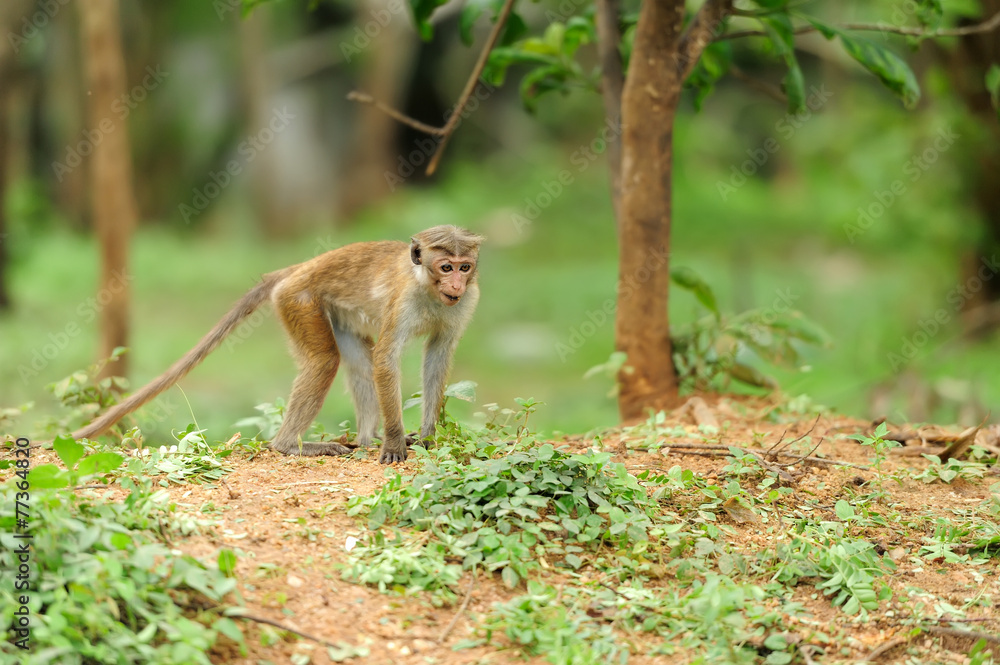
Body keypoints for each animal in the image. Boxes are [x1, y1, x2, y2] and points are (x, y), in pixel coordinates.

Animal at [68, 226, 482, 464]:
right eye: (445, 267)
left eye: (465, 267)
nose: (456, 285)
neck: (427, 287)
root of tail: (297, 269)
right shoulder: (404, 299)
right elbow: (386, 358)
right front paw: (395, 443)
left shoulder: (468, 302)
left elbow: (437, 355)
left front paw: (427, 436)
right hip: (298, 299)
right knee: (325, 361)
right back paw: (290, 446)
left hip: (330, 309)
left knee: (355, 362)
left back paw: (366, 439)